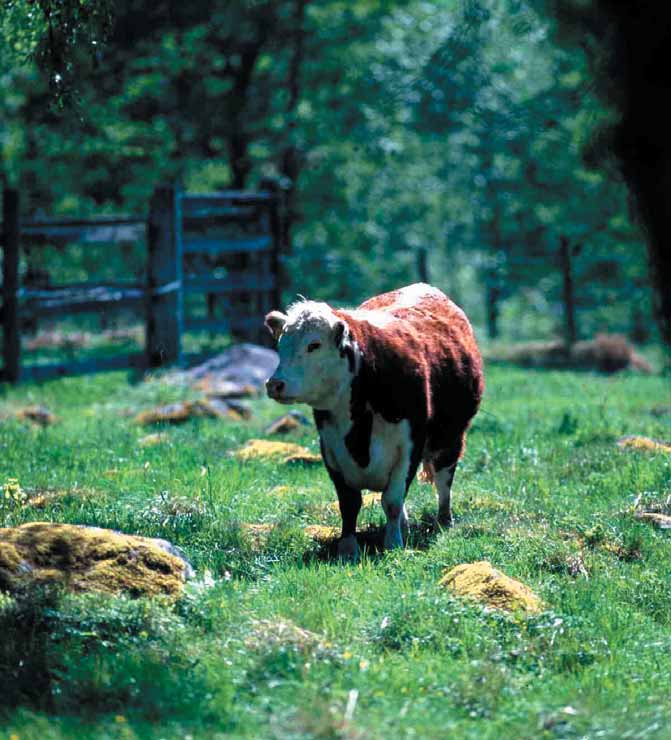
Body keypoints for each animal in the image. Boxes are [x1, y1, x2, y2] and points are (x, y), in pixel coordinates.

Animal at [266, 284, 486, 560]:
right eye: (281, 344)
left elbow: (391, 500)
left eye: (314, 344)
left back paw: (444, 520)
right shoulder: (330, 447)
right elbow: (349, 503)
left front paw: (393, 543)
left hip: (450, 439)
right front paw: (348, 549)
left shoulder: (410, 444)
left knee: (444, 480)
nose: (275, 384)